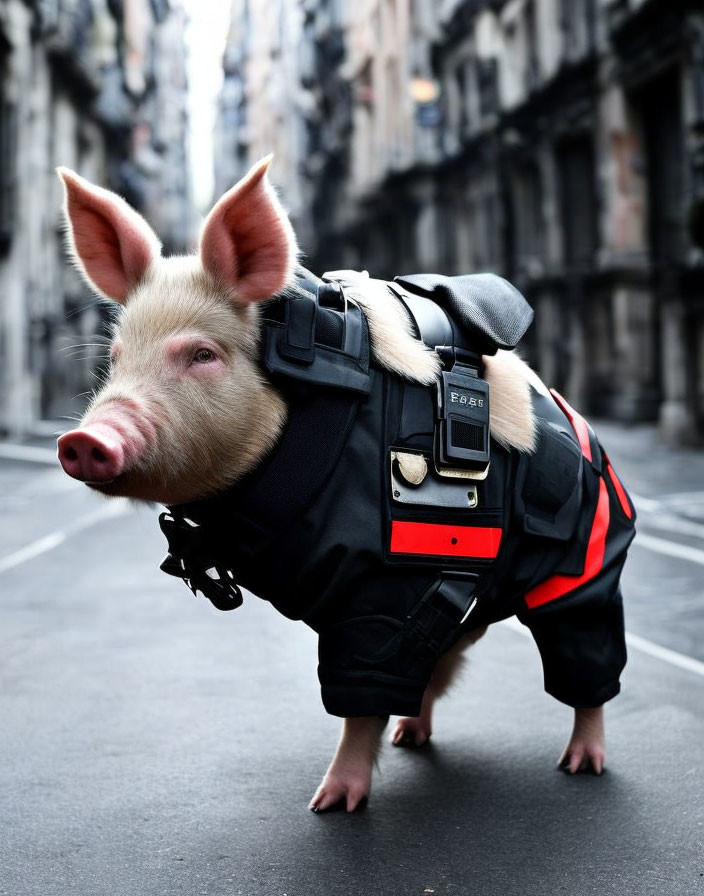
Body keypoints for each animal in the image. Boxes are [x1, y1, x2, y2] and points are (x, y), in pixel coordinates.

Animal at [56, 158, 632, 816]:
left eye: (202, 354)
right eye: (117, 355)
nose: (84, 439)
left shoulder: (383, 594)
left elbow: (361, 698)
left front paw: (328, 804)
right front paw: (335, 796)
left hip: (584, 571)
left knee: (585, 660)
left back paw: (581, 765)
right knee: (442, 662)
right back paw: (412, 738)